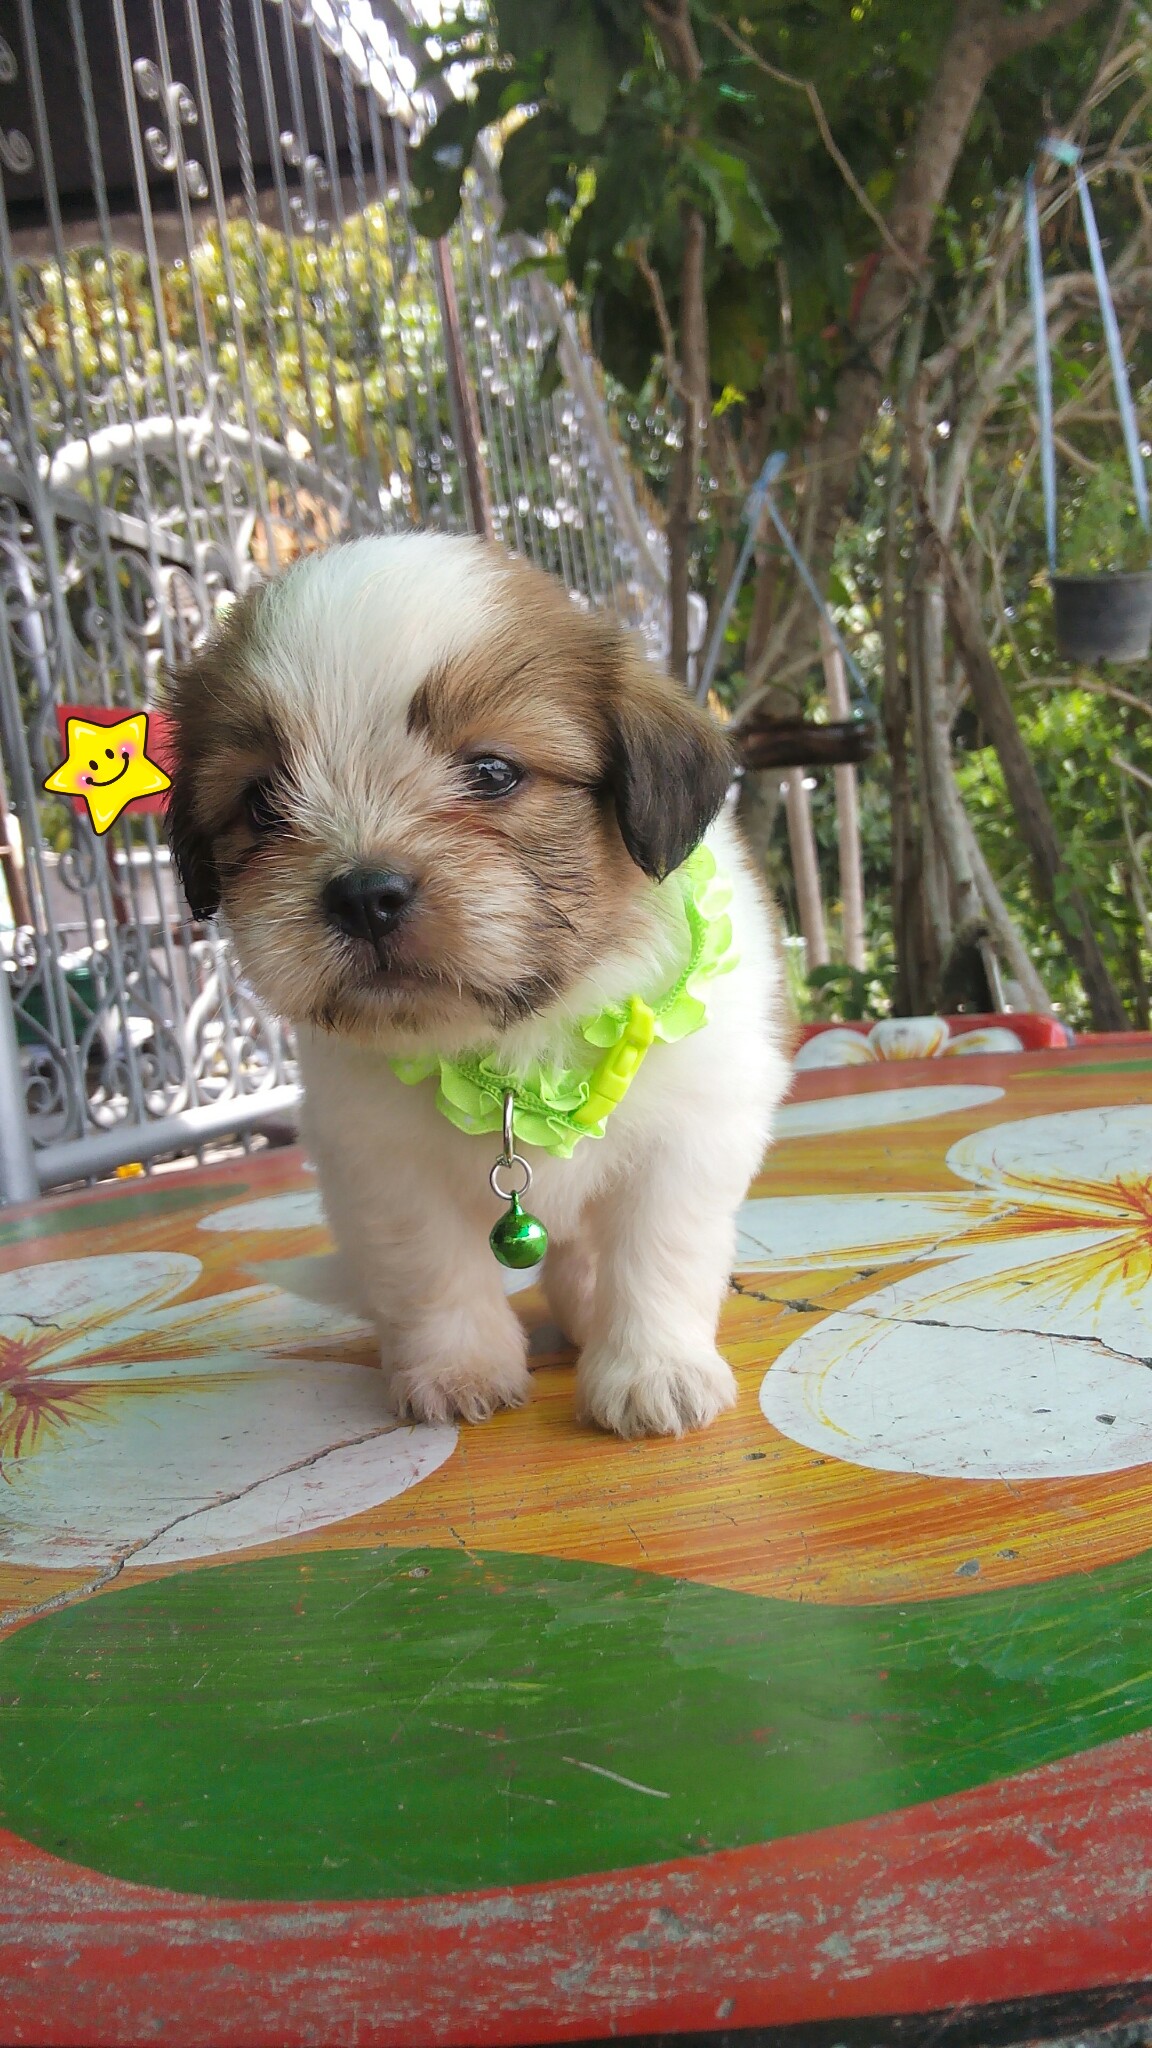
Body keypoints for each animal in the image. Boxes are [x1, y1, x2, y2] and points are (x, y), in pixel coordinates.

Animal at [165, 534, 792, 1437]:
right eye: (260, 802)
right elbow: (430, 1268)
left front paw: (652, 1368)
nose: (364, 894)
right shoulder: (381, 1162)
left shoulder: (692, 1128)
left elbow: (659, 1251)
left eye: (493, 772)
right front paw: (458, 1369)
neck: (512, 1040)